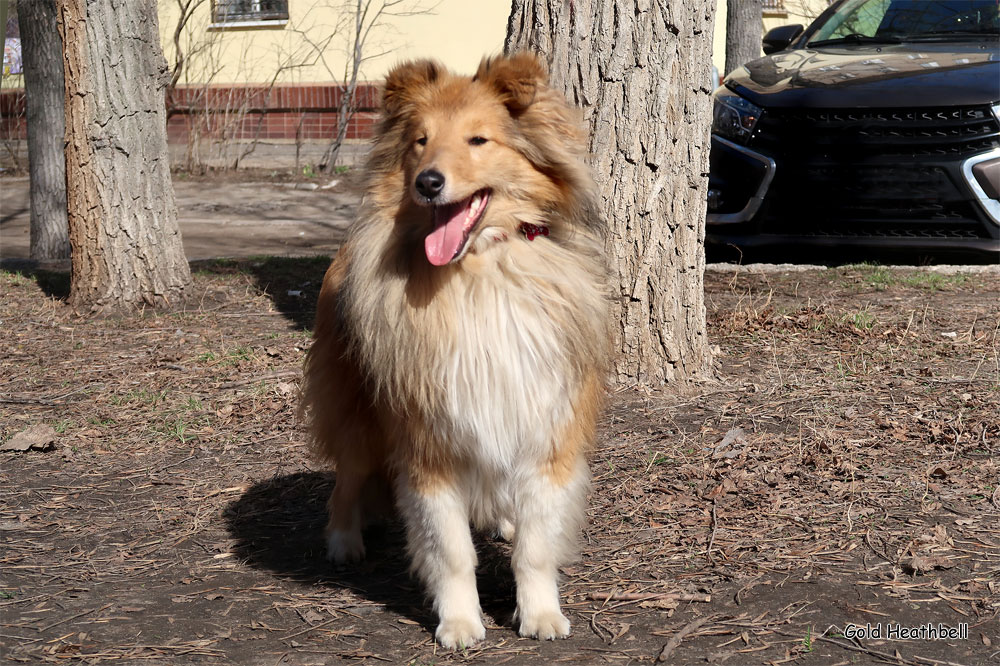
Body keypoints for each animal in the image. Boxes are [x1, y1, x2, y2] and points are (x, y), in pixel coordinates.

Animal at [300, 54, 608, 644]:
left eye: (478, 140)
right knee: (346, 479)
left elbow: (535, 548)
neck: (480, 271)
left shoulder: (545, 427)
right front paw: (460, 622)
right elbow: (451, 550)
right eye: (420, 141)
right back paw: (343, 541)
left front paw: (540, 614)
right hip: (356, 412)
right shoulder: (428, 444)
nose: (428, 182)